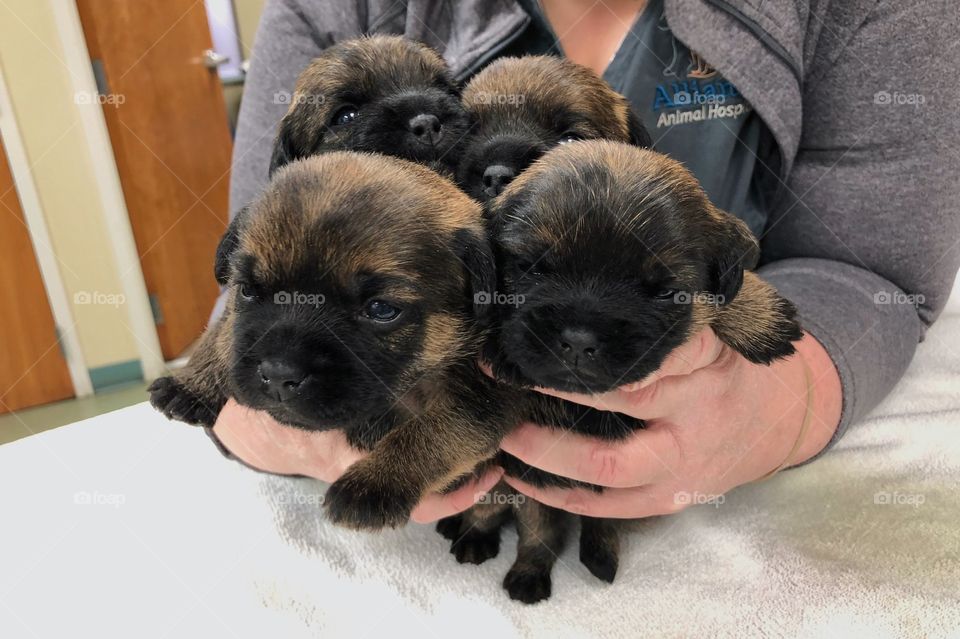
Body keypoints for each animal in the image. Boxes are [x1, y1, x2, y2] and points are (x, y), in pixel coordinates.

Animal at [147, 154, 510, 528]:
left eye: (381, 309)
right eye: (247, 289)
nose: (278, 375)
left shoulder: (480, 401)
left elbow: (430, 434)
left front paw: (370, 487)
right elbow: (223, 333)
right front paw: (192, 384)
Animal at [448, 141, 804, 604]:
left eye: (665, 292)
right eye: (531, 267)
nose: (579, 339)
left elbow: (729, 288)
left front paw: (762, 318)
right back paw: (491, 545)